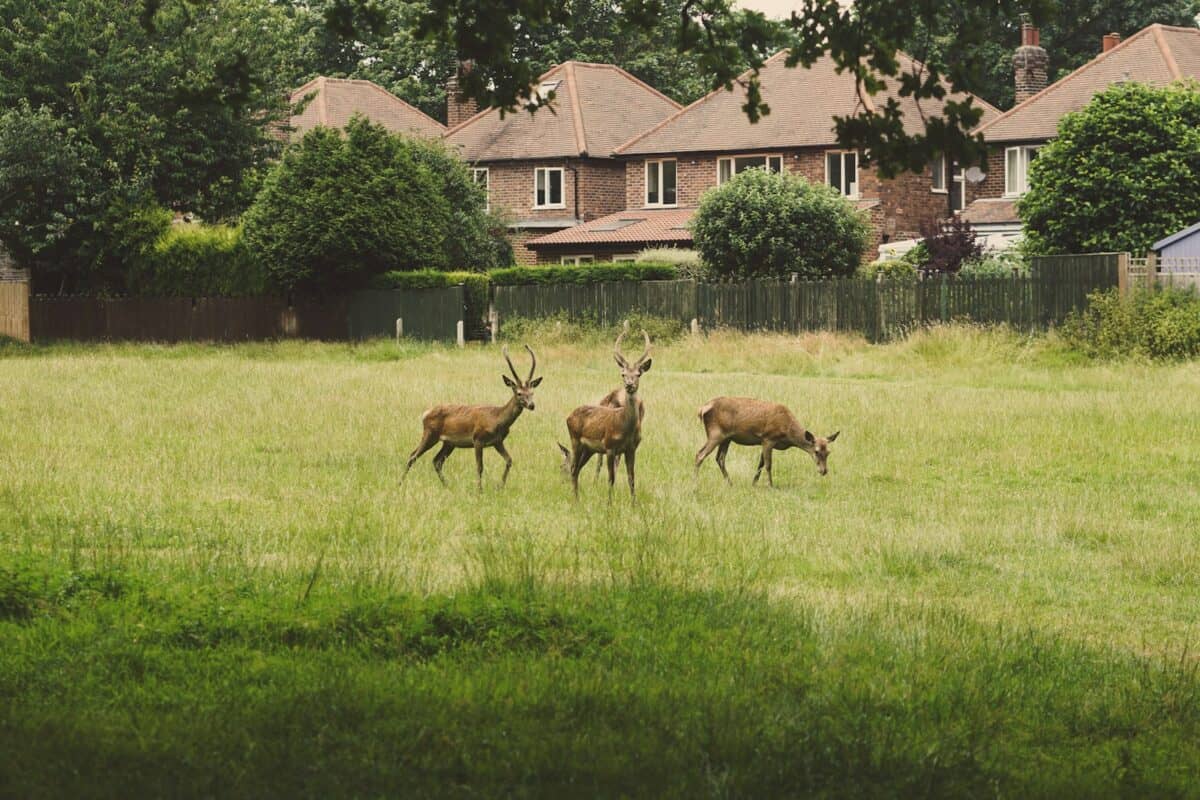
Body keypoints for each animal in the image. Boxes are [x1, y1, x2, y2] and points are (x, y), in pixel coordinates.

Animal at [401, 345, 541, 489]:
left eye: (532, 392)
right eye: (519, 393)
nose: (531, 405)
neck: (497, 420)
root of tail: (425, 413)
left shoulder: (497, 441)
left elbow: (509, 460)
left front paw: (500, 486)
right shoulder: (478, 439)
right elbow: (480, 467)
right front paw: (480, 490)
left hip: (449, 443)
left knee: (436, 461)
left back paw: (447, 485)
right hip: (430, 434)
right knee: (413, 456)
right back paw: (400, 483)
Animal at [562, 330, 652, 501]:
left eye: (638, 374)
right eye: (623, 374)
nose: (629, 385)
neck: (625, 428)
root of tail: (568, 416)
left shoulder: (632, 449)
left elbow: (631, 478)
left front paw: (634, 503)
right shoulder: (610, 447)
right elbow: (611, 478)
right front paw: (609, 503)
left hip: (589, 449)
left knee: (577, 469)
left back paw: (578, 498)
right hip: (575, 439)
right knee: (573, 467)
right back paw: (575, 499)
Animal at [694, 397, 839, 486]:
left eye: (828, 452)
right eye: (816, 451)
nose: (824, 471)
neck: (787, 434)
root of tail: (702, 410)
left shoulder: (764, 442)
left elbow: (761, 463)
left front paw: (754, 483)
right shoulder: (768, 438)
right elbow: (768, 465)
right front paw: (770, 485)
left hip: (727, 438)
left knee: (720, 458)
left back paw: (730, 483)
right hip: (715, 434)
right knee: (700, 454)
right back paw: (695, 485)